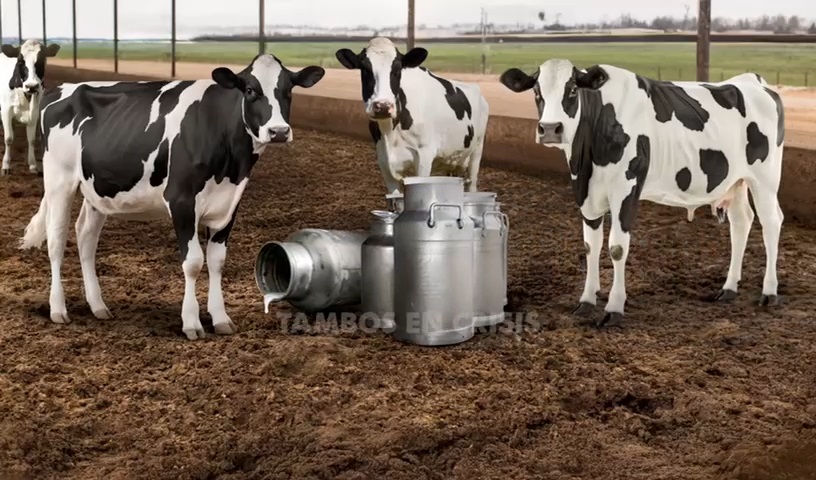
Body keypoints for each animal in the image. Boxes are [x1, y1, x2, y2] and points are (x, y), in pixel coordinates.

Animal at [0, 39, 60, 174]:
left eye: (42, 59)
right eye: (20, 61)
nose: (31, 86)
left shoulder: (35, 112)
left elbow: (31, 140)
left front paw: (32, 165)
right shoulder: (6, 111)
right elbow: (8, 138)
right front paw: (5, 165)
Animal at [19, 53, 326, 338]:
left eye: (289, 89)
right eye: (250, 90)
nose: (279, 131)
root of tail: (62, 88)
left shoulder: (230, 204)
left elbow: (217, 261)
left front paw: (220, 318)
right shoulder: (181, 200)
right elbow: (193, 262)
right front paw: (191, 323)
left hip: (96, 190)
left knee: (85, 238)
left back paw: (98, 306)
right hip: (59, 180)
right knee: (56, 240)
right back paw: (58, 309)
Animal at [334, 37, 488, 194]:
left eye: (397, 70)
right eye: (365, 69)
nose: (383, 106)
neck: (390, 133)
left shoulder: (424, 157)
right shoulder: (384, 161)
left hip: (477, 149)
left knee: (472, 183)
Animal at [498, 60, 784, 326]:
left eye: (572, 89)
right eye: (536, 90)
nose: (550, 129)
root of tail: (753, 80)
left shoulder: (626, 189)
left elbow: (616, 248)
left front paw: (614, 308)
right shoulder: (586, 194)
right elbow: (591, 246)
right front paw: (586, 300)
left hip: (765, 177)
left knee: (771, 222)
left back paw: (769, 292)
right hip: (736, 181)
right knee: (741, 223)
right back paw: (728, 288)